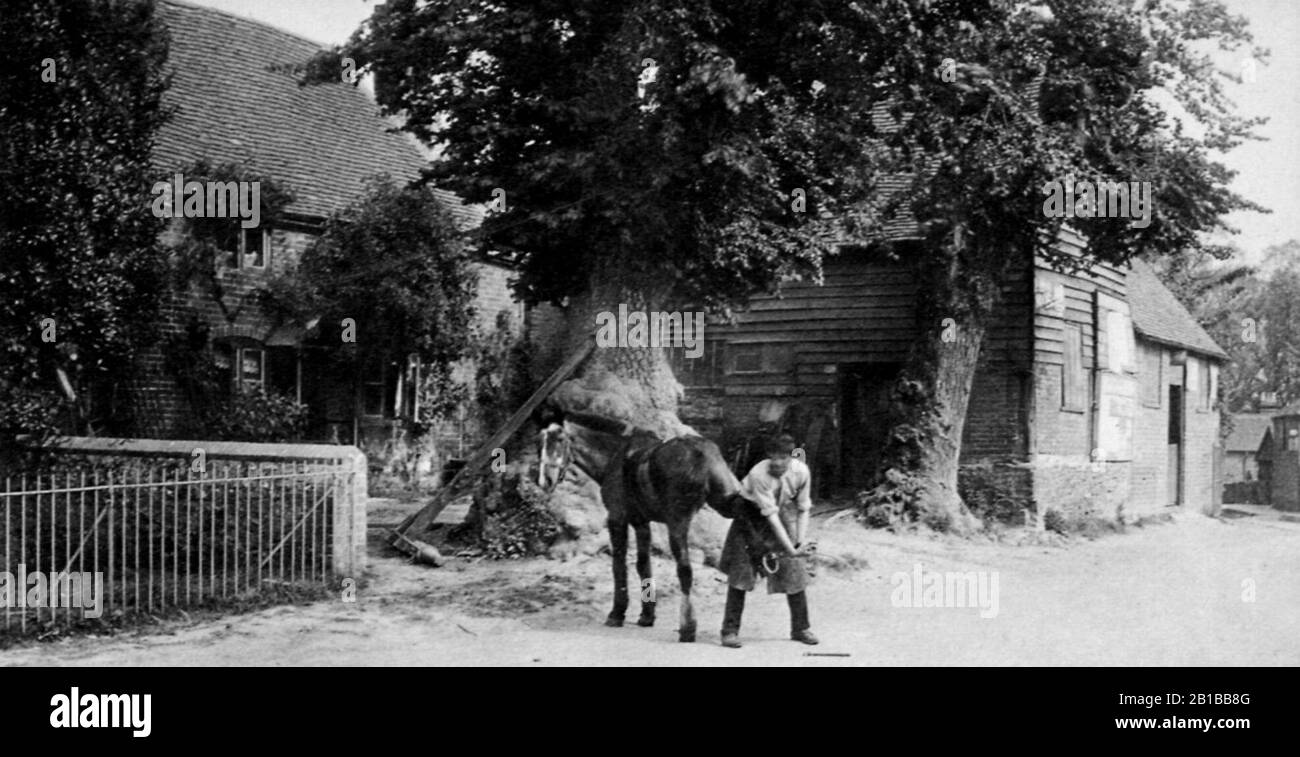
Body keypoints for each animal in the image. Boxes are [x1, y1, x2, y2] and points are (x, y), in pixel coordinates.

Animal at [535, 413, 743, 645]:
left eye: (560, 440)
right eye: (540, 442)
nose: (545, 480)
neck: (615, 456)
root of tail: (703, 452)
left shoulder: (617, 519)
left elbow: (619, 566)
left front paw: (617, 613)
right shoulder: (641, 522)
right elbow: (643, 565)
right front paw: (647, 615)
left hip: (678, 524)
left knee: (685, 571)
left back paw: (688, 627)